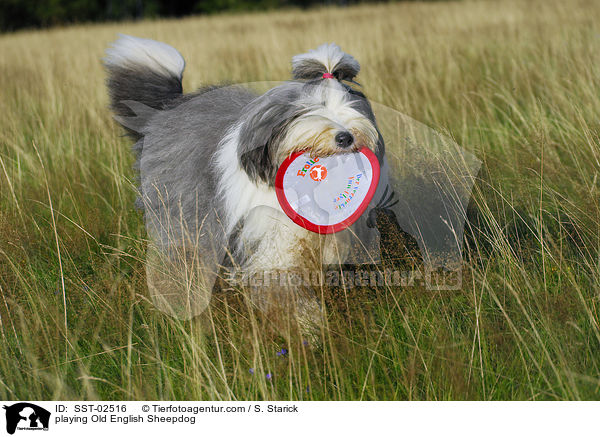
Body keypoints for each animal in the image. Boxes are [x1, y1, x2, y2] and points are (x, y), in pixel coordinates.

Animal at [104, 35, 390, 326]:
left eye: (351, 107)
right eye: (314, 108)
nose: (346, 137)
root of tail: (166, 111)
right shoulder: (269, 240)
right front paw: (307, 323)